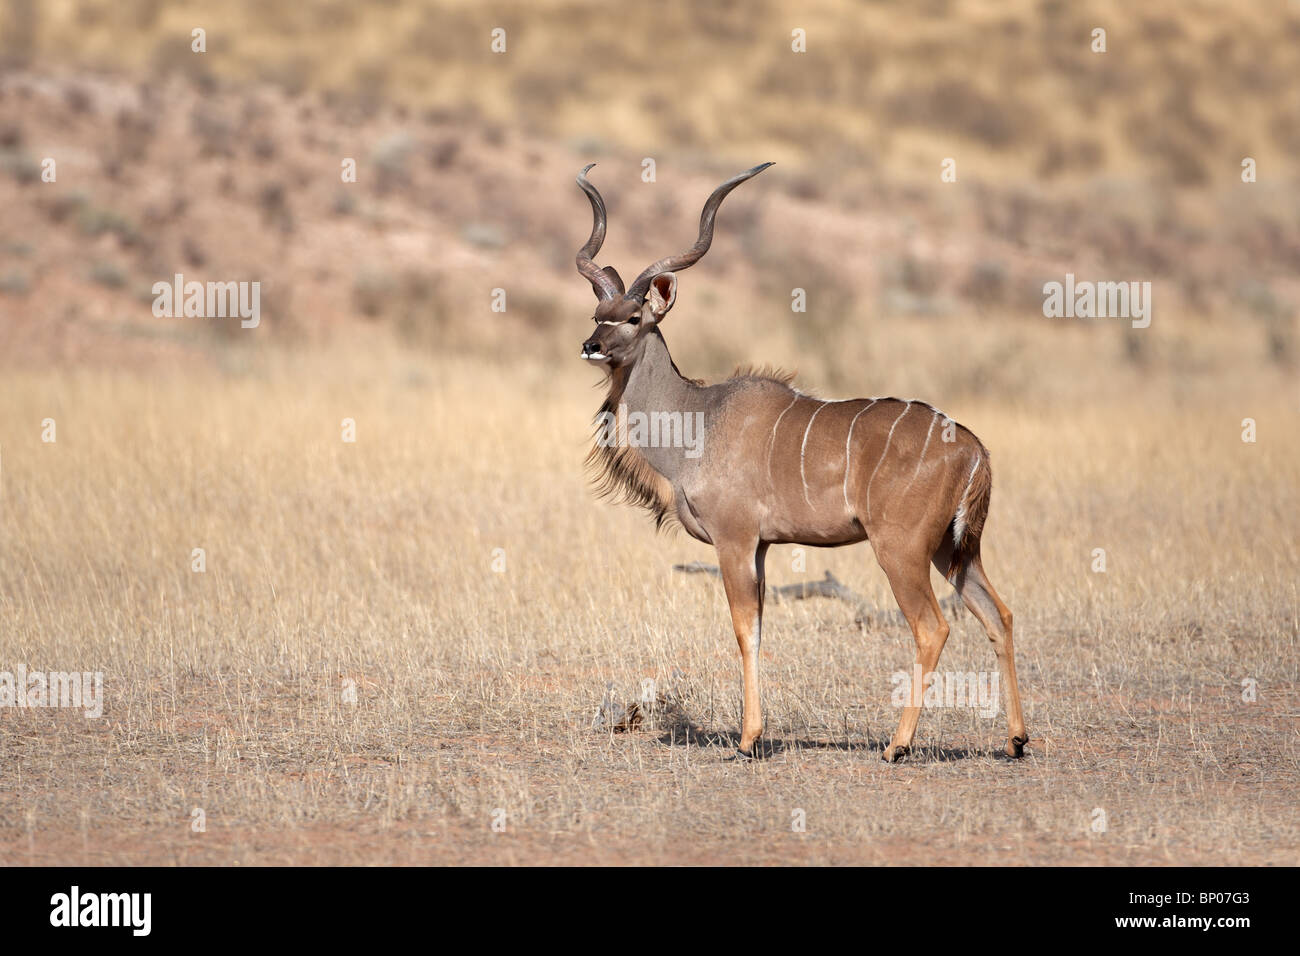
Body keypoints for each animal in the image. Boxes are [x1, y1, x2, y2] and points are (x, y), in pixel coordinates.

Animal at [574, 162, 1029, 764]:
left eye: (631, 317)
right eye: (597, 313)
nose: (590, 345)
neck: (700, 419)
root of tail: (974, 447)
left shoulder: (736, 540)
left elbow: (744, 630)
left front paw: (748, 740)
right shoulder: (763, 546)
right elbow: (760, 628)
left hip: (902, 550)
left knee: (931, 627)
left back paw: (897, 746)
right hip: (955, 551)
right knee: (999, 615)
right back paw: (1016, 740)